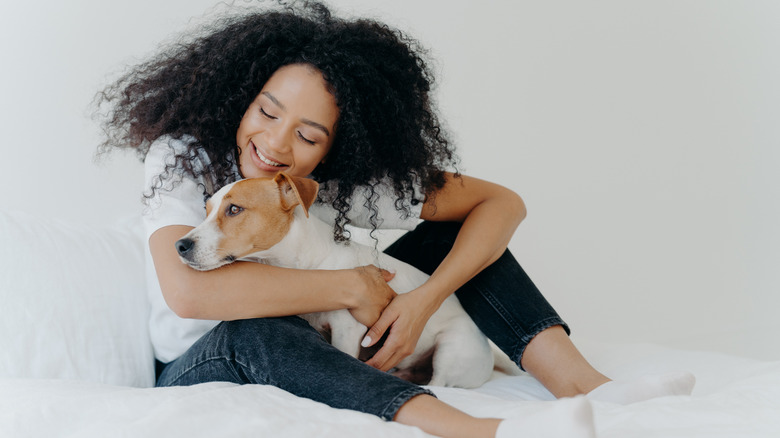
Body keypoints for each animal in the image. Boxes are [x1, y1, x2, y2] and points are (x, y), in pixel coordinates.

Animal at [177, 173, 516, 388]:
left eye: (234, 209)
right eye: (206, 211)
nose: (180, 245)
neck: (304, 264)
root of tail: (490, 353)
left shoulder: (347, 330)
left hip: (452, 348)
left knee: (440, 383)